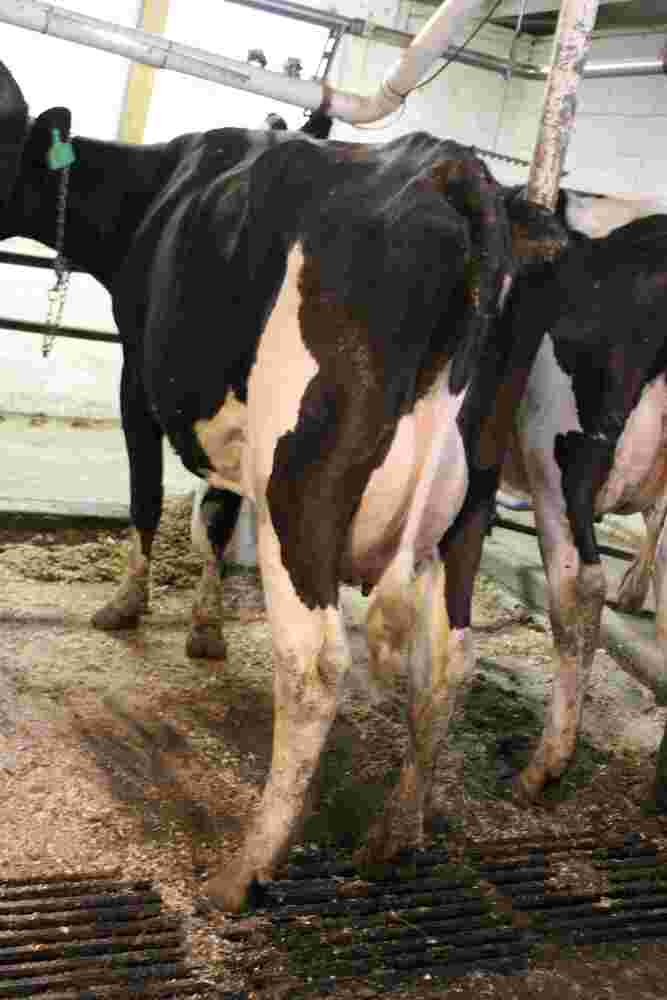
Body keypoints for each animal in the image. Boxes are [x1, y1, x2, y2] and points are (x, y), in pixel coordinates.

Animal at [1, 60, 568, 912]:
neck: (158, 189)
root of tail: (450, 171)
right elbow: (214, 512)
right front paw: (205, 626)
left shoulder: (141, 377)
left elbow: (148, 499)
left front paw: (127, 604)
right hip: (471, 497)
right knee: (448, 660)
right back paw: (395, 831)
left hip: (302, 488)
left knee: (315, 667)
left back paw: (245, 868)